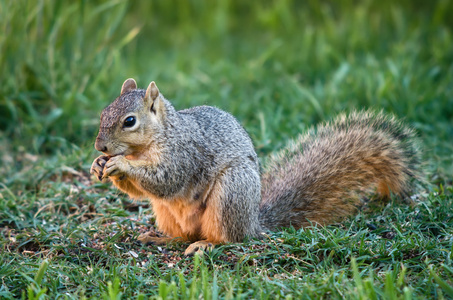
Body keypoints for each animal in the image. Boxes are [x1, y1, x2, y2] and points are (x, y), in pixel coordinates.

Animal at [91, 78, 420, 255]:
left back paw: (207, 245)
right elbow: (141, 192)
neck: (148, 144)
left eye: (129, 121)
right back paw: (162, 236)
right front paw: (98, 166)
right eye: (103, 112)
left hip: (232, 191)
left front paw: (119, 164)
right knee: (184, 234)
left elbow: (166, 179)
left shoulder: (184, 154)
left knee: (229, 239)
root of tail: (254, 223)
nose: (100, 147)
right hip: (166, 212)